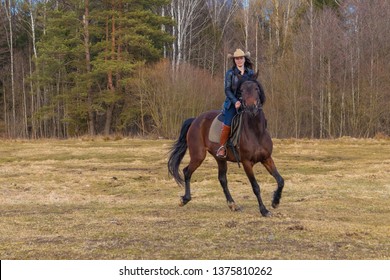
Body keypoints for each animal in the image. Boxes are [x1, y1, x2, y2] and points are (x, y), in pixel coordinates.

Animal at [167, 76, 284, 217]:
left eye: (256, 88)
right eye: (241, 90)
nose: (251, 108)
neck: (256, 131)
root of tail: (195, 120)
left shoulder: (266, 158)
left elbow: (280, 180)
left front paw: (275, 201)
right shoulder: (247, 163)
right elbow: (255, 187)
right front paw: (264, 210)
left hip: (220, 158)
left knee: (222, 179)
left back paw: (232, 204)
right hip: (198, 155)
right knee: (187, 171)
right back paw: (184, 199)